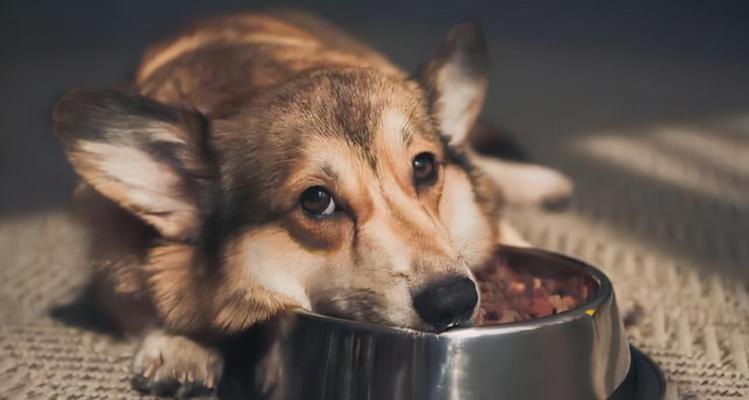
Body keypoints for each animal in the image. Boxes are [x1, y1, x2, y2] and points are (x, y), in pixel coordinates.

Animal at [51, 8, 568, 396]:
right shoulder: (113, 266)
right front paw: (180, 345)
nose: (455, 301)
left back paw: (542, 182)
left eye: (424, 166)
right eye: (317, 201)